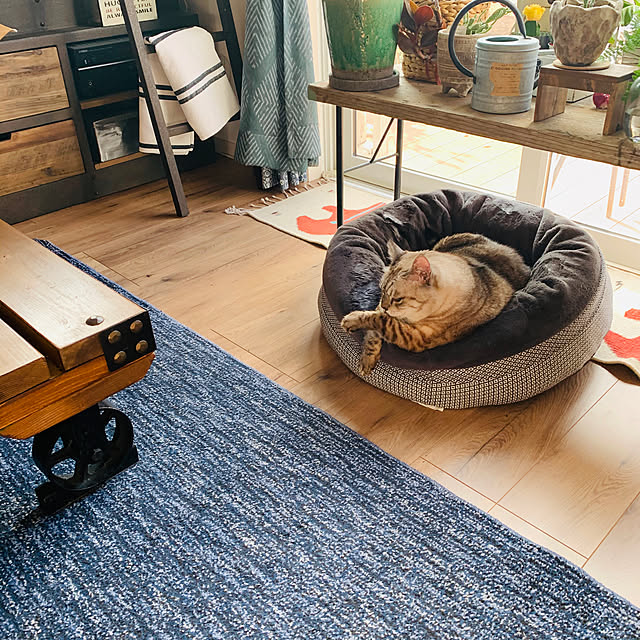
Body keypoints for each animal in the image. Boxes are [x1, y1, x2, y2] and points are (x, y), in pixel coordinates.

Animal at [340, 232, 531, 376]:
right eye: (382, 292)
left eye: (398, 299)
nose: (386, 306)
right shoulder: (382, 310)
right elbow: (374, 331)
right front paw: (367, 361)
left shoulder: (416, 337)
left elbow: (380, 320)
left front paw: (350, 320)